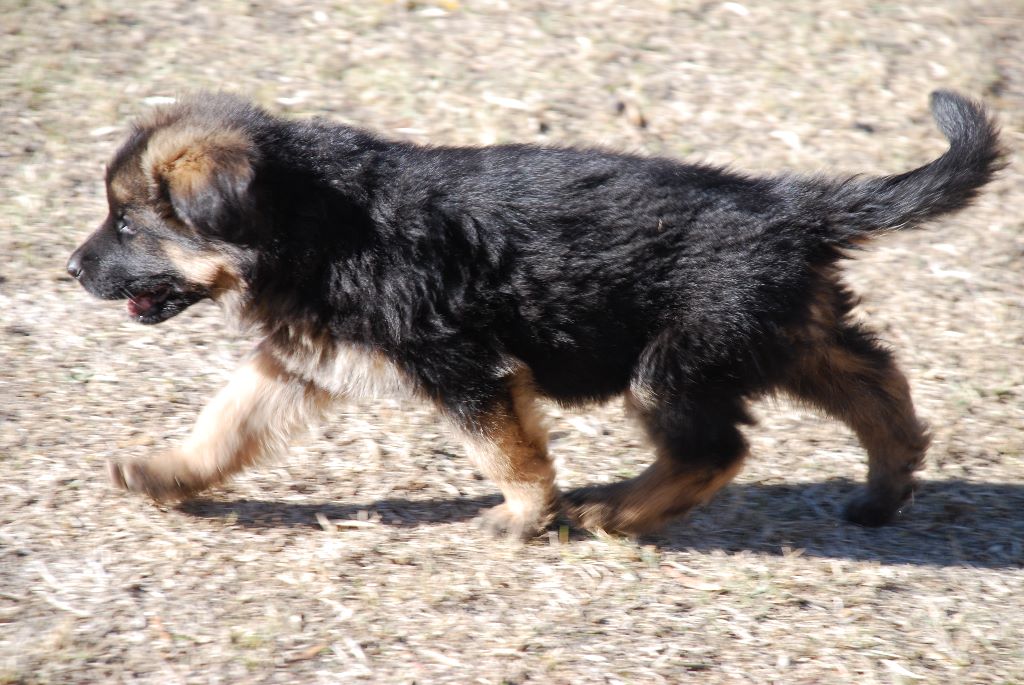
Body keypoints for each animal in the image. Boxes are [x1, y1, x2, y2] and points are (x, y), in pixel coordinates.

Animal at [67, 90, 1003, 538]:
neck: (309, 219)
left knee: (715, 450)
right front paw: (164, 471)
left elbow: (506, 453)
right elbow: (226, 423)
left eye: (127, 224)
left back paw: (618, 513)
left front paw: (524, 517)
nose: (70, 268)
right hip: (786, 332)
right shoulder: (294, 361)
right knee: (876, 383)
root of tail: (789, 207)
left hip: (676, 362)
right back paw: (888, 486)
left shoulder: (465, 368)